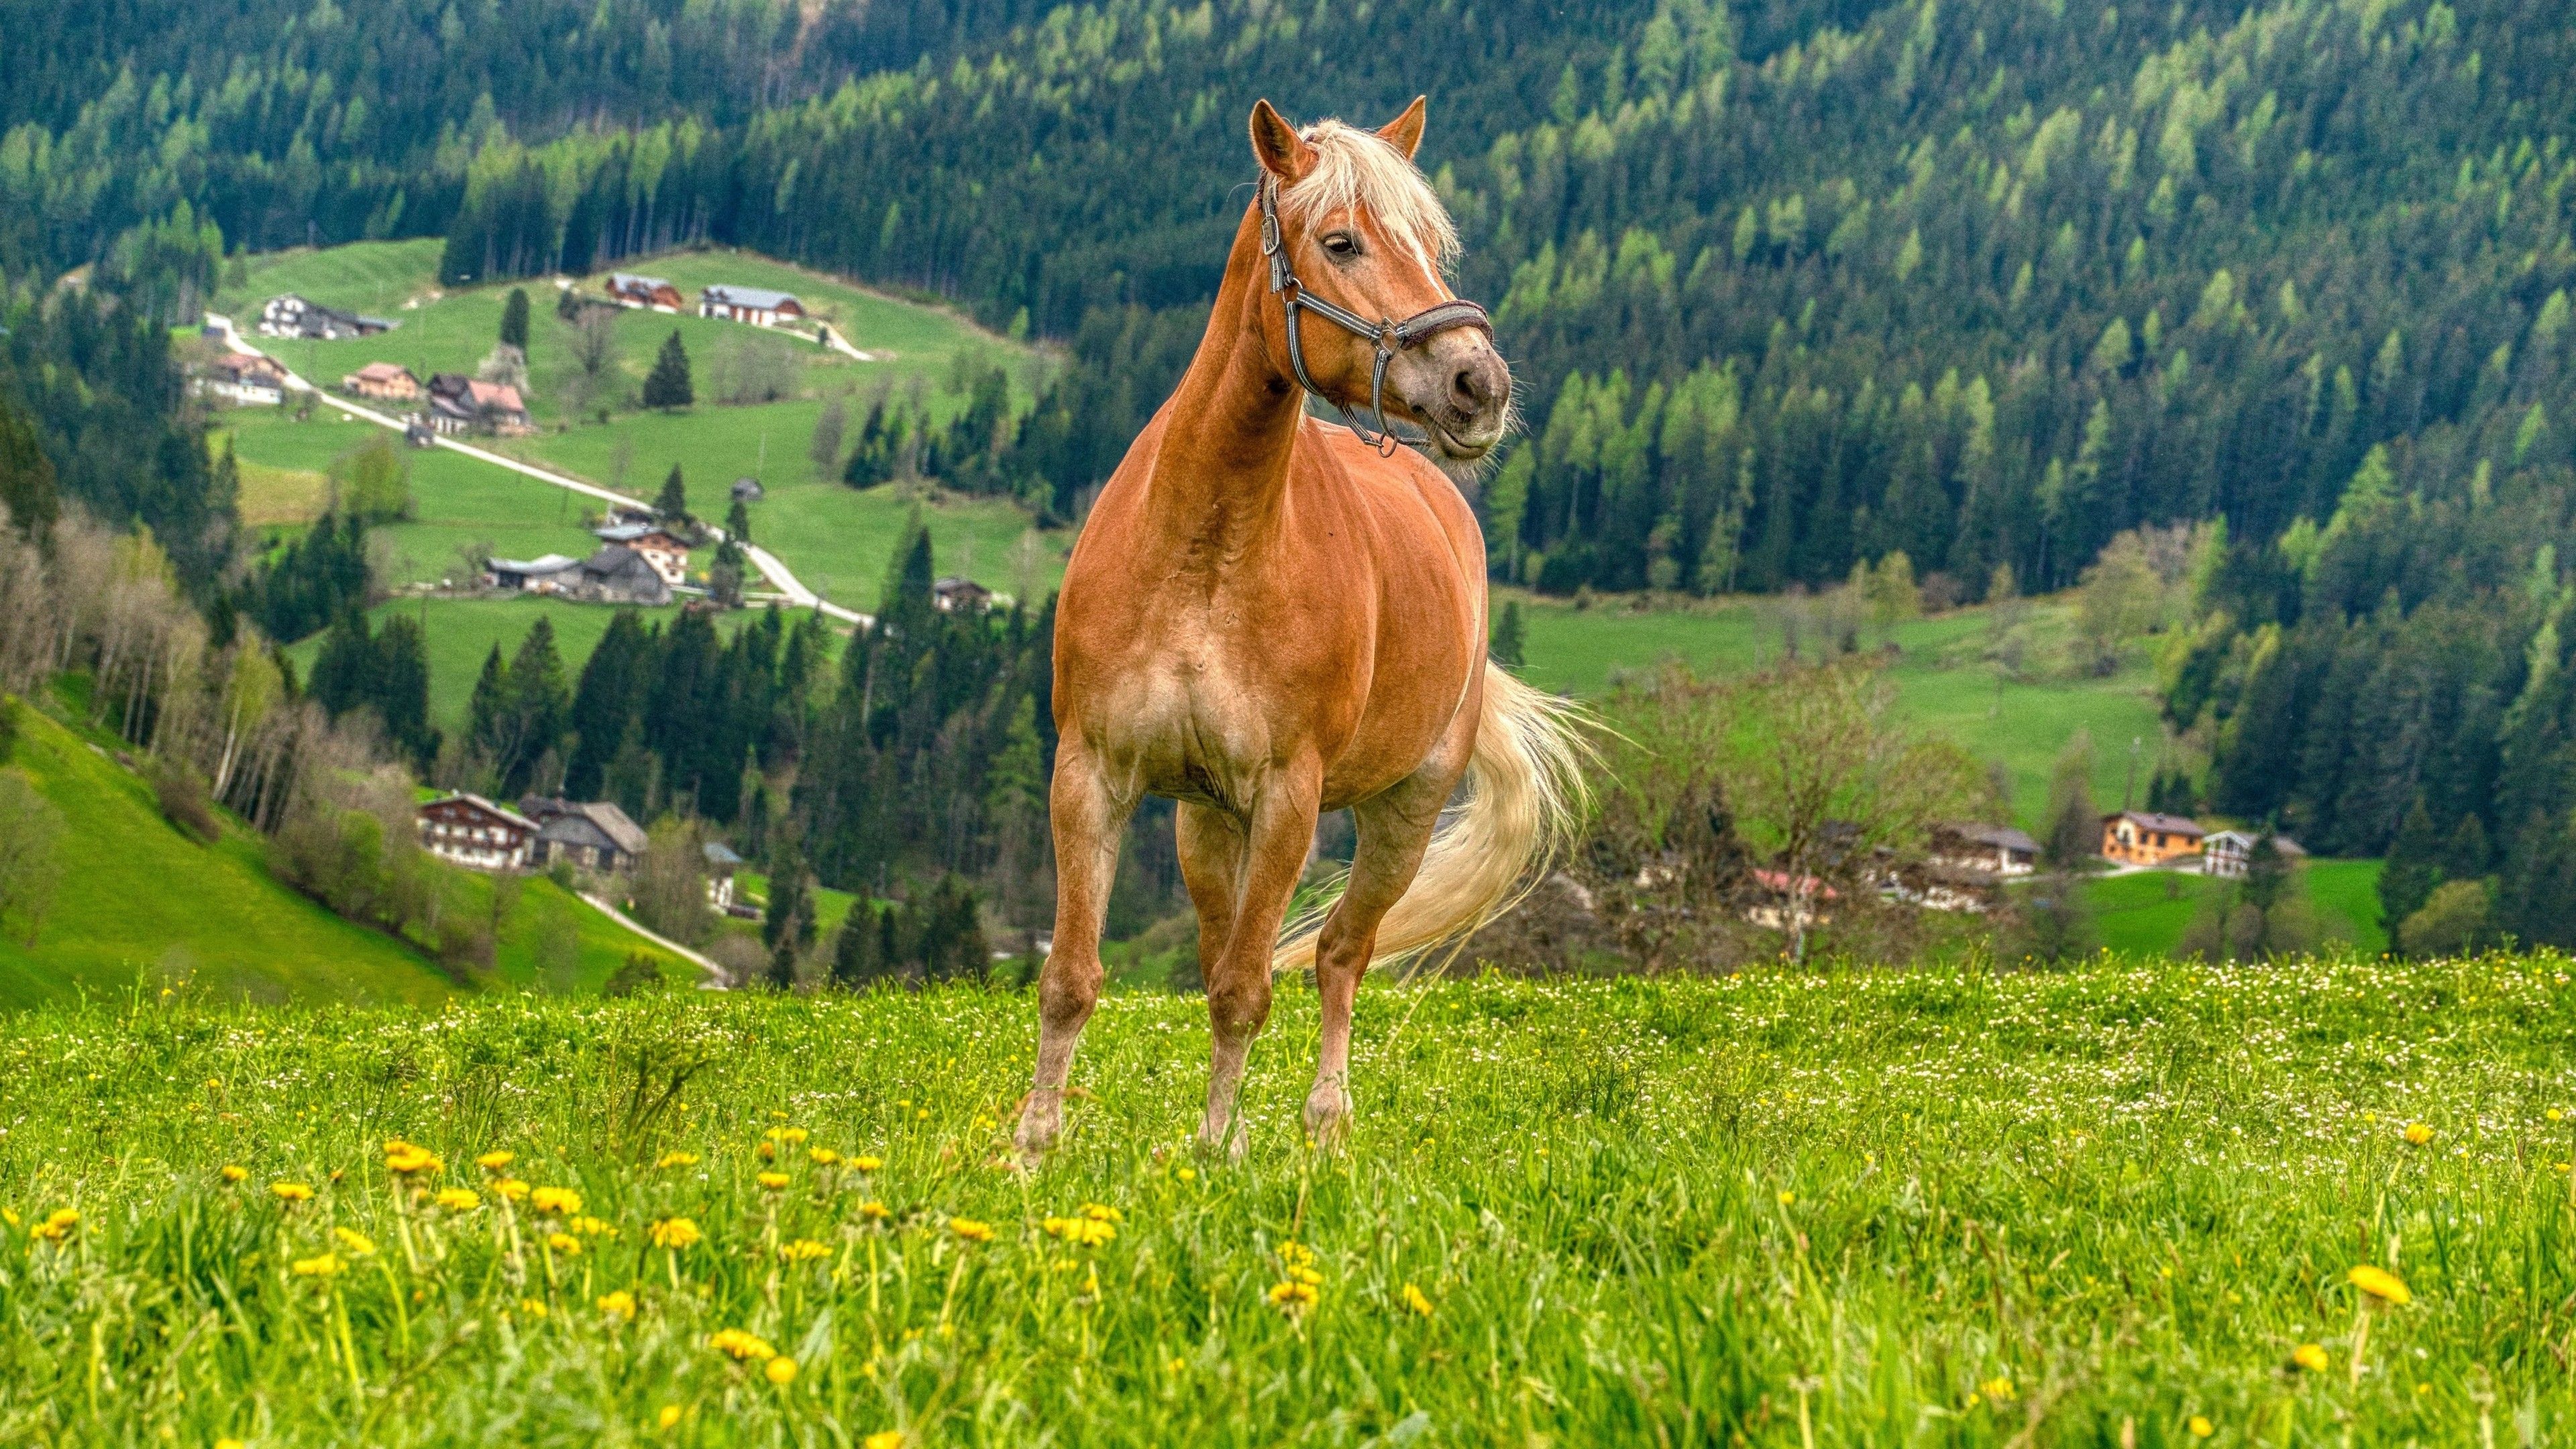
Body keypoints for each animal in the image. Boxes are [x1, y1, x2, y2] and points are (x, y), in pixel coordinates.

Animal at [1015, 97, 1589, 1163]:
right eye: (1342, 241)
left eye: (1431, 246)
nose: (1478, 385)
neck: (1203, 555)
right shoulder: (1091, 775)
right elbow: (1073, 979)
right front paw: (1033, 1150)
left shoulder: (1289, 797)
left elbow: (1247, 992)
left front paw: (1213, 1150)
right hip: (1206, 822)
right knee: (1226, 944)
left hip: (1403, 814)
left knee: (1340, 956)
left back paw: (1325, 1122)